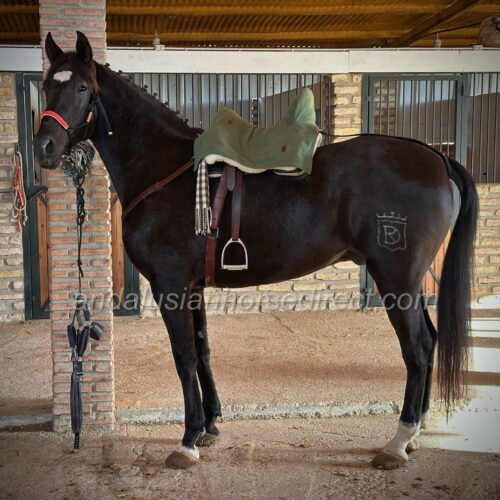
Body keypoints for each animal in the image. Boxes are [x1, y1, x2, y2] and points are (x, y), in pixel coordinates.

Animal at [35, 32, 478, 470]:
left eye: (81, 87)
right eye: (45, 86)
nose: (45, 148)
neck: (165, 170)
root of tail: (435, 157)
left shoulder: (170, 286)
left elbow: (184, 357)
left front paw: (187, 440)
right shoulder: (193, 288)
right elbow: (202, 350)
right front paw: (210, 425)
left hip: (395, 279)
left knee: (417, 349)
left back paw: (397, 443)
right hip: (409, 284)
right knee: (430, 341)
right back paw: (415, 435)